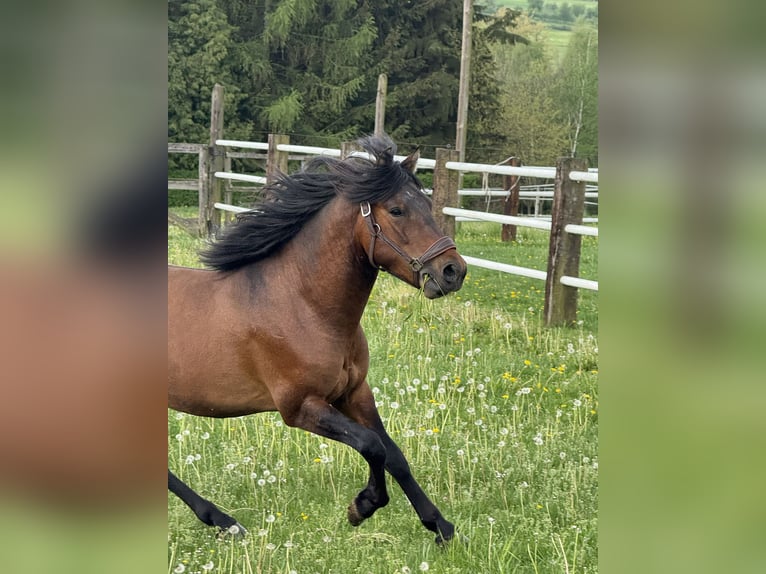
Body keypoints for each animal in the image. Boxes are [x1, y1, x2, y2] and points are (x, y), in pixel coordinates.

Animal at [168, 135, 467, 544]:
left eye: (426, 204)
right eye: (397, 209)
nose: (453, 271)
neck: (303, 305)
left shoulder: (354, 393)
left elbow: (394, 454)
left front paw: (441, 527)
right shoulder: (300, 407)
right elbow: (372, 446)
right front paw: (362, 506)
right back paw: (223, 520)